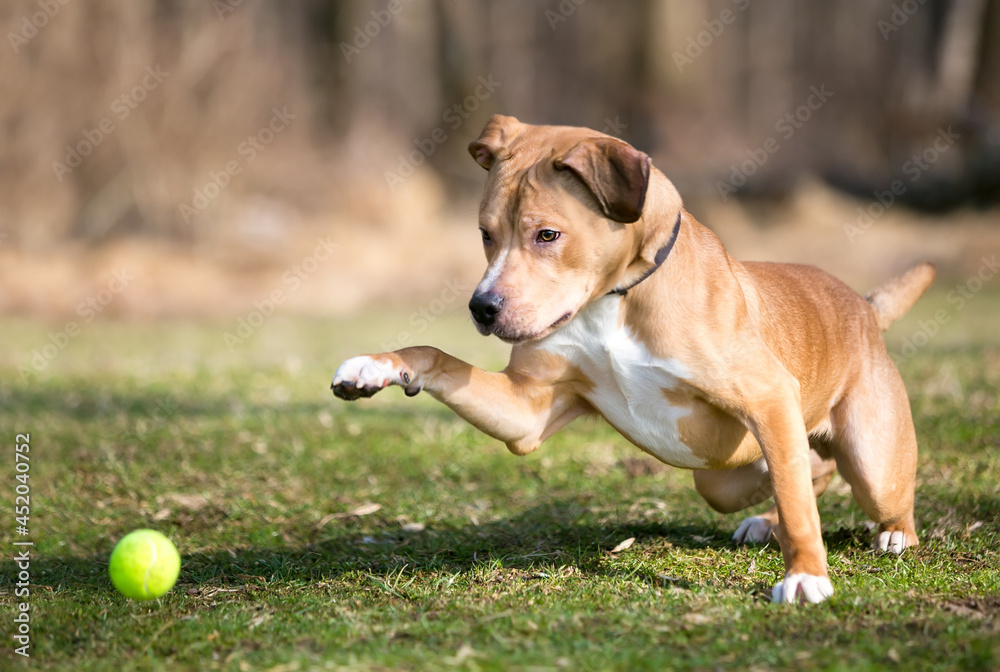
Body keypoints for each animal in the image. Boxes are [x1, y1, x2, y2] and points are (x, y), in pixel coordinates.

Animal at [332, 114, 932, 604]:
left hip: (871, 461)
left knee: (858, 490)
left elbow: (799, 506)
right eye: (485, 234)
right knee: (805, 468)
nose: (482, 308)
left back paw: (891, 534)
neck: (615, 300)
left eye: (547, 234)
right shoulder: (528, 412)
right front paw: (376, 367)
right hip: (719, 479)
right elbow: (434, 355)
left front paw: (806, 575)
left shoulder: (767, 396)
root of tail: (864, 306)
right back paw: (766, 521)